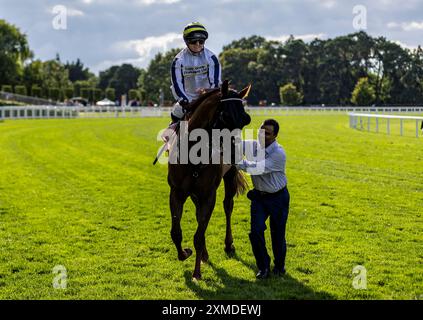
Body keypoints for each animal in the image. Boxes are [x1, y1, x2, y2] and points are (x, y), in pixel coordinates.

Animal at [166, 80, 253, 280]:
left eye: (246, 119)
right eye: (225, 116)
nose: (234, 153)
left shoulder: (208, 194)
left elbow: (198, 235)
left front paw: (197, 272)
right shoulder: (177, 192)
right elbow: (176, 232)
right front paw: (185, 253)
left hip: (228, 177)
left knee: (227, 206)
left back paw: (228, 244)